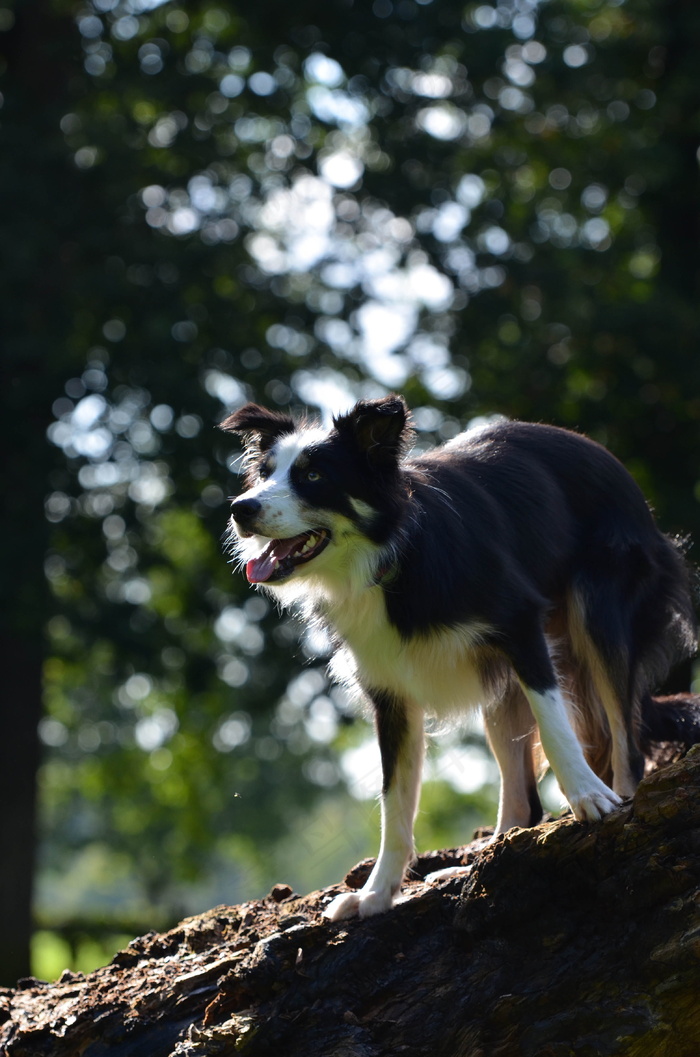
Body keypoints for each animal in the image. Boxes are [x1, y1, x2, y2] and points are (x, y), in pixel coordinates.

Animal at [223, 393, 697, 921]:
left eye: (313, 476)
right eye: (264, 473)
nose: (241, 509)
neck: (391, 555)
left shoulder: (520, 622)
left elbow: (556, 728)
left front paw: (590, 798)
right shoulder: (389, 688)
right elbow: (394, 799)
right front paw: (376, 894)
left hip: (598, 607)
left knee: (624, 741)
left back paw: (622, 801)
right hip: (500, 684)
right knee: (522, 796)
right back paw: (488, 855)